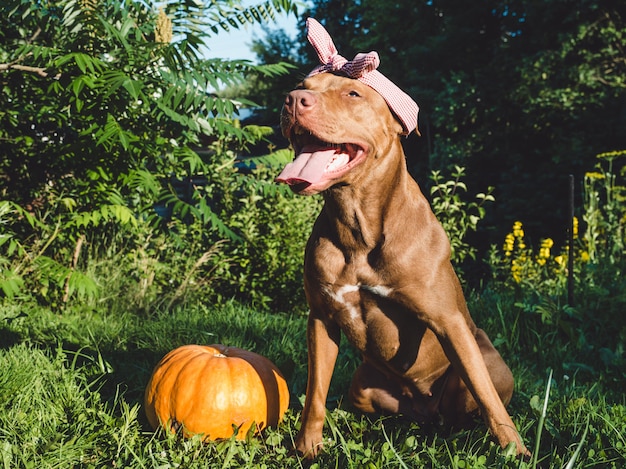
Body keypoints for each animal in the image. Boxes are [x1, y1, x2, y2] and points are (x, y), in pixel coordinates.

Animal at [276, 72, 524, 458]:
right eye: (304, 85)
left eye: (353, 93)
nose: (293, 99)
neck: (357, 226)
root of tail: (421, 407)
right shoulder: (320, 318)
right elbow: (315, 392)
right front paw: (307, 448)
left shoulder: (449, 323)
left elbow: (486, 396)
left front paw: (517, 450)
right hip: (361, 387)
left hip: (490, 363)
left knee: (470, 402)